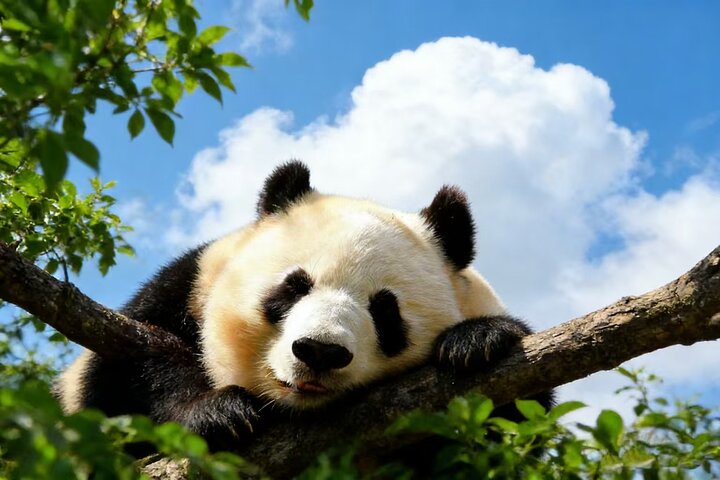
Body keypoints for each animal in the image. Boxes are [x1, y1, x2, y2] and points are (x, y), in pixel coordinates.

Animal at [55, 161, 552, 451]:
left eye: (384, 310)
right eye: (293, 288)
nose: (319, 351)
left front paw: (477, 342)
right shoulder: (184, 287)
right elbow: (126, 372)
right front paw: (220, 413)